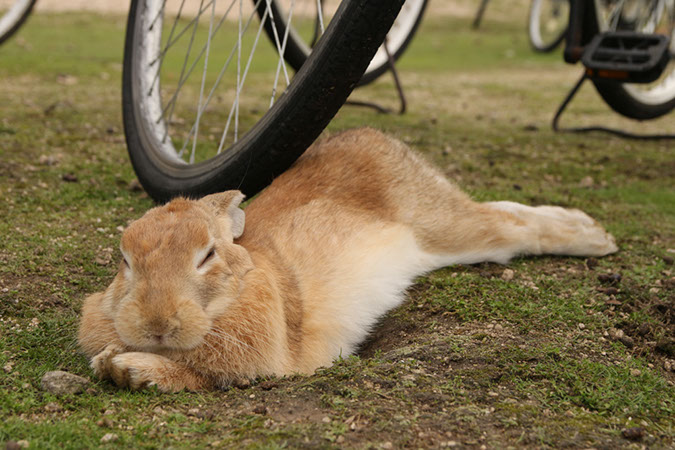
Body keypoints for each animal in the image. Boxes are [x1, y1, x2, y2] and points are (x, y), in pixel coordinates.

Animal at [78, 128, 618, 392]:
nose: (156, 323)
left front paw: (132, 368)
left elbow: (202, 375)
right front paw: (113, 363)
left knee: (513, 228)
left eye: (207, 254)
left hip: (451, 232)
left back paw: (597, 238)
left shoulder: (262, 360)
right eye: (125, 260)